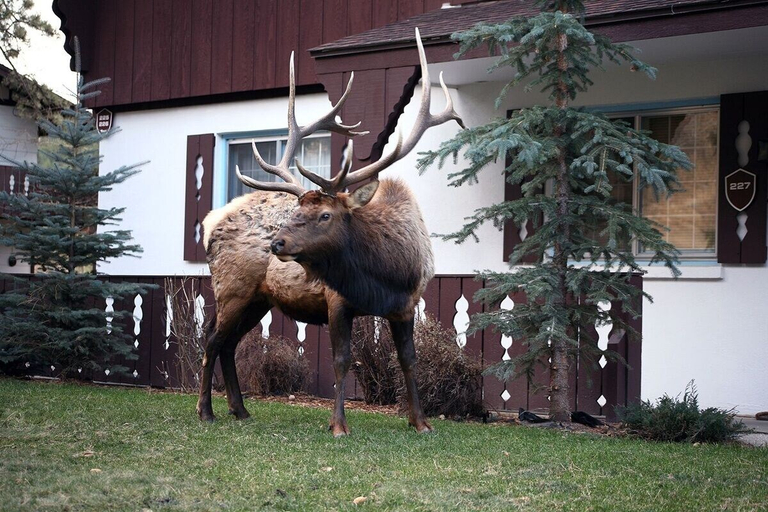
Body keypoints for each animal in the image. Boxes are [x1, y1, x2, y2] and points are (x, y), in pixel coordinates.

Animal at [196, 28, 464, 436]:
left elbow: (409, 360)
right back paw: (205, 411)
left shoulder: (407, 305)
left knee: (228, 344)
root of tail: (211, 222)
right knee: (212, 340)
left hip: (258, 299)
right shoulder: (337, 301)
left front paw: (421, 422)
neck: (385, 274)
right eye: (295, 210)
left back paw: (240, 410)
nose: (276, 242)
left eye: (324, 215)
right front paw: (338, 425)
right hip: (232, 287)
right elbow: (341, 360)